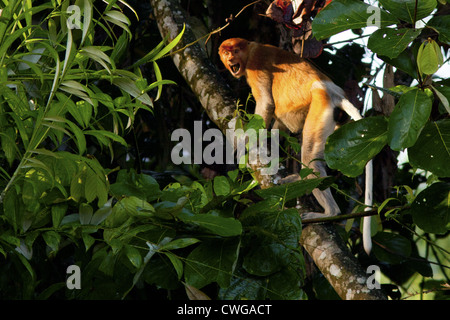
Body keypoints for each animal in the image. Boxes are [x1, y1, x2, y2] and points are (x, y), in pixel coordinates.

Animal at [220, 38, 374, 252]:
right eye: (226, 52)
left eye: (235, 50)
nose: (230, 59)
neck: (250, 50)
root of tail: (333, 91)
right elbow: (278, 124)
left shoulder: (256, 65)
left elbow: (267, 104)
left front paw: (244, 142)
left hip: (319, 105)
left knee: (309, 159)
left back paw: (330, 212)